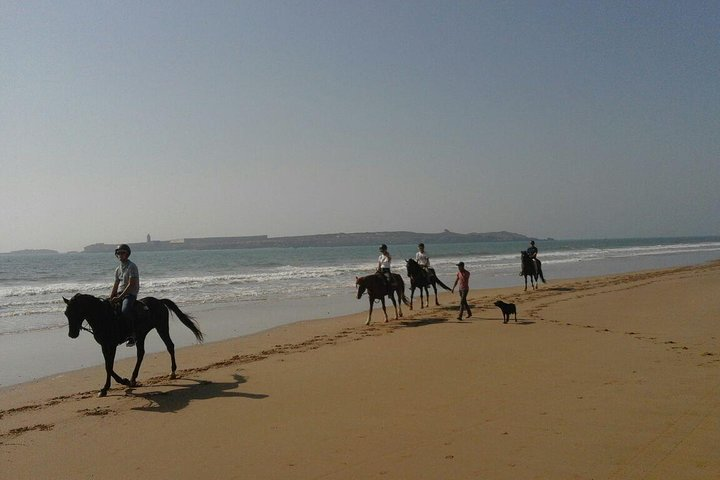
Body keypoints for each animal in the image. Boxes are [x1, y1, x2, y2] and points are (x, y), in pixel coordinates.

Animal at [63, 292, 202, 398]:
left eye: (76, 311)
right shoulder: (104, 346)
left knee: (170, 346)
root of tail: (159, 301)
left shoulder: (112, 345)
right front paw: (114, 385)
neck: (104, 317)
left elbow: (109, 366)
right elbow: (108, 366)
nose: (72, 334)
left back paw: (172, 372)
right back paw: (133, 379)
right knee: (141, 353)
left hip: (161, 328)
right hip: (141, 335)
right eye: (66, 313)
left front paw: (111, 386)